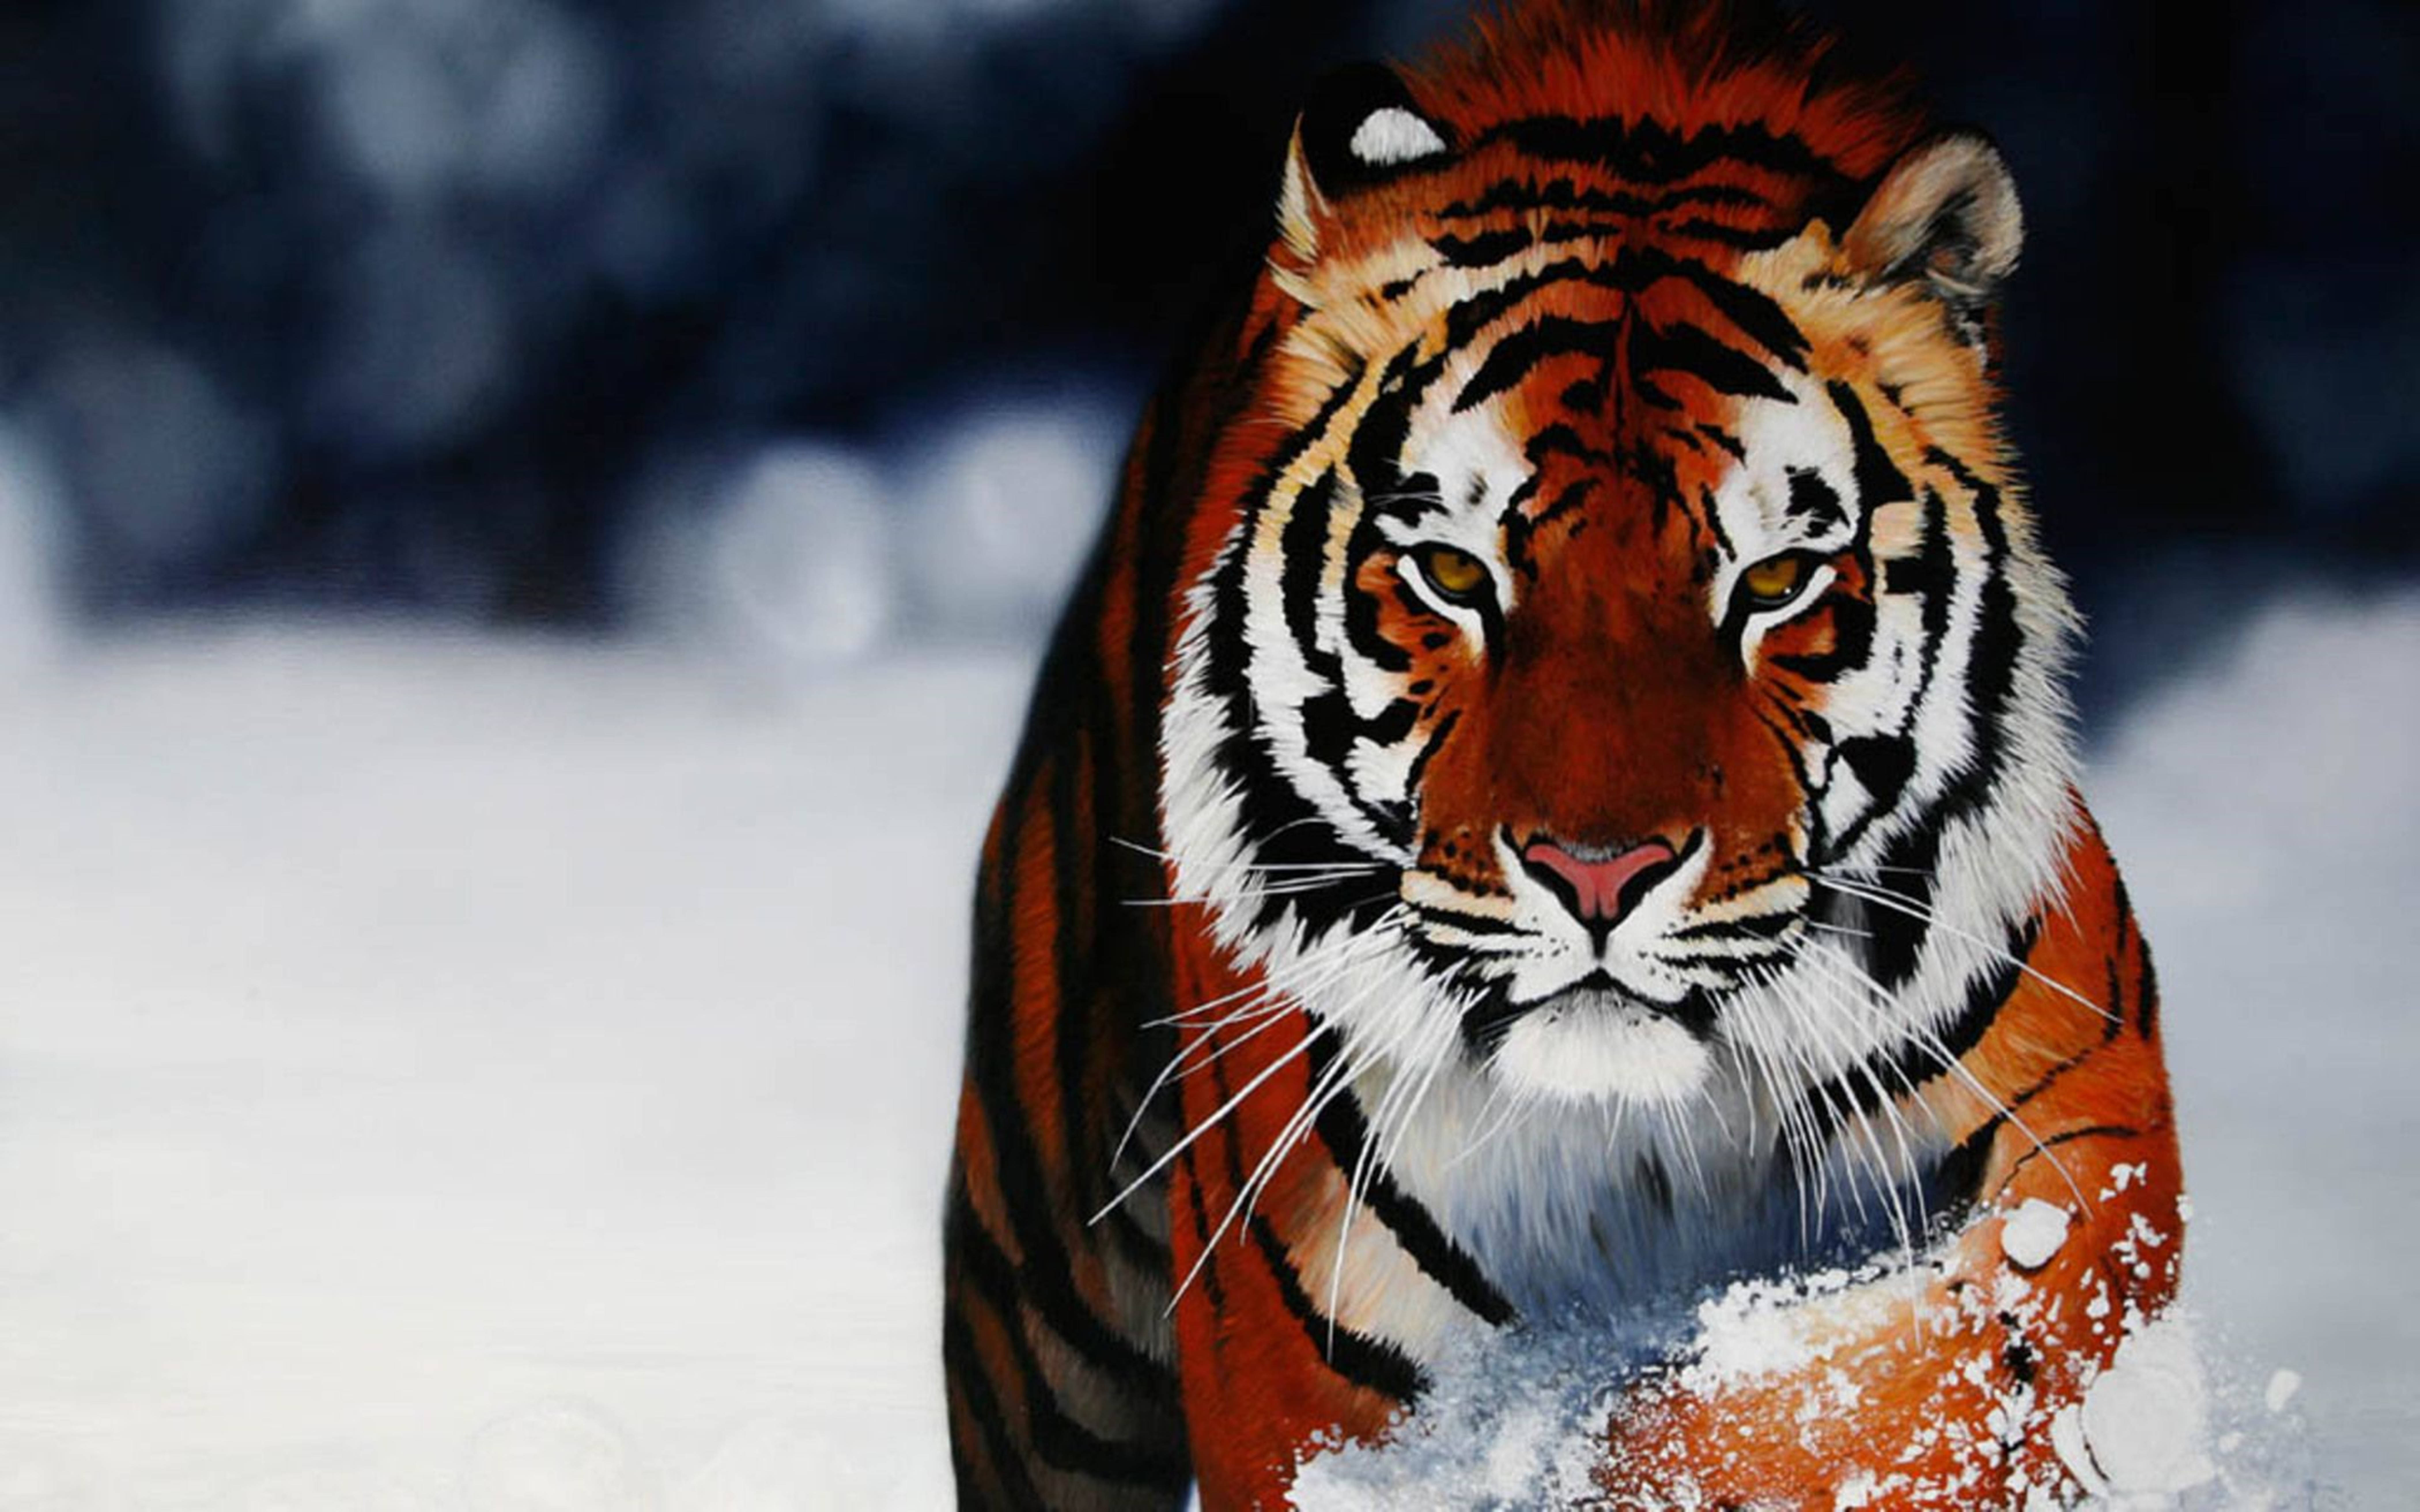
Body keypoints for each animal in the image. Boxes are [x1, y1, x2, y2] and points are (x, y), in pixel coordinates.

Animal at [941, 2, 2185, 1507]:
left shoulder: (2093, 1135)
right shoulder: (1299, 1365)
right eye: (1450, 572)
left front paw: (1604, 1441)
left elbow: (1882, 1374)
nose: (1597, 876)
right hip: (1042, 1313)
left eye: (1776, 582)